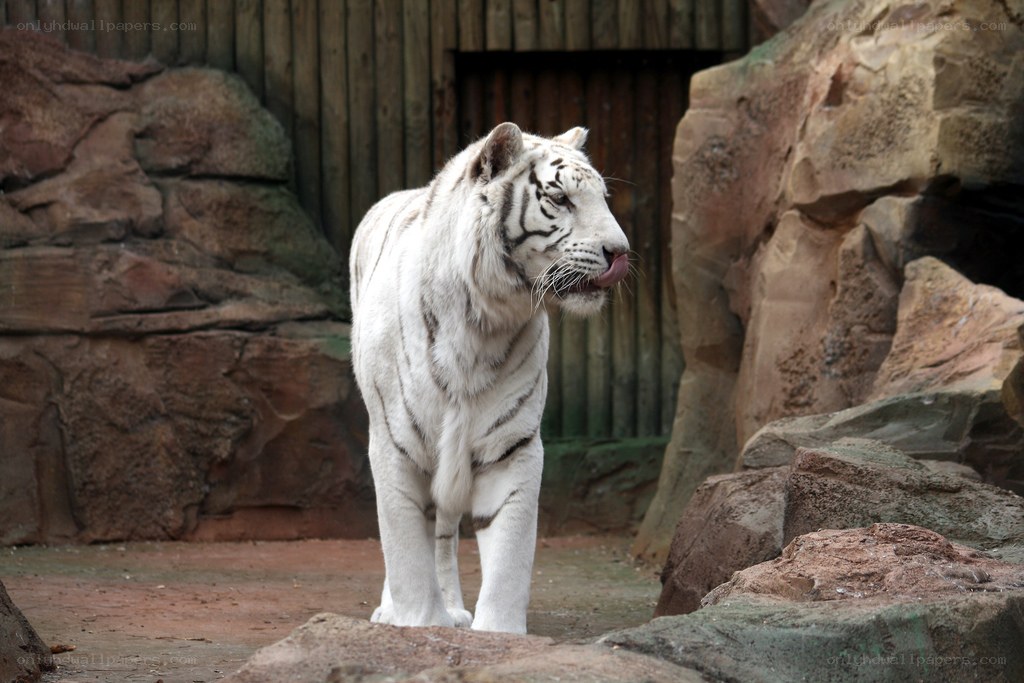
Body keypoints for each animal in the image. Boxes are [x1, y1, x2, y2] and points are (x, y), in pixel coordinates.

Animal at [348, 122, 629, 634]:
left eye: (602, 197)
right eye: (560, 198)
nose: (620, 252)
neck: (481, 320)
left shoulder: (511, 442)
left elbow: (509, 552)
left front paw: (498, 632)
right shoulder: (397, 442)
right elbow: (405, 549)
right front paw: (417, 622)